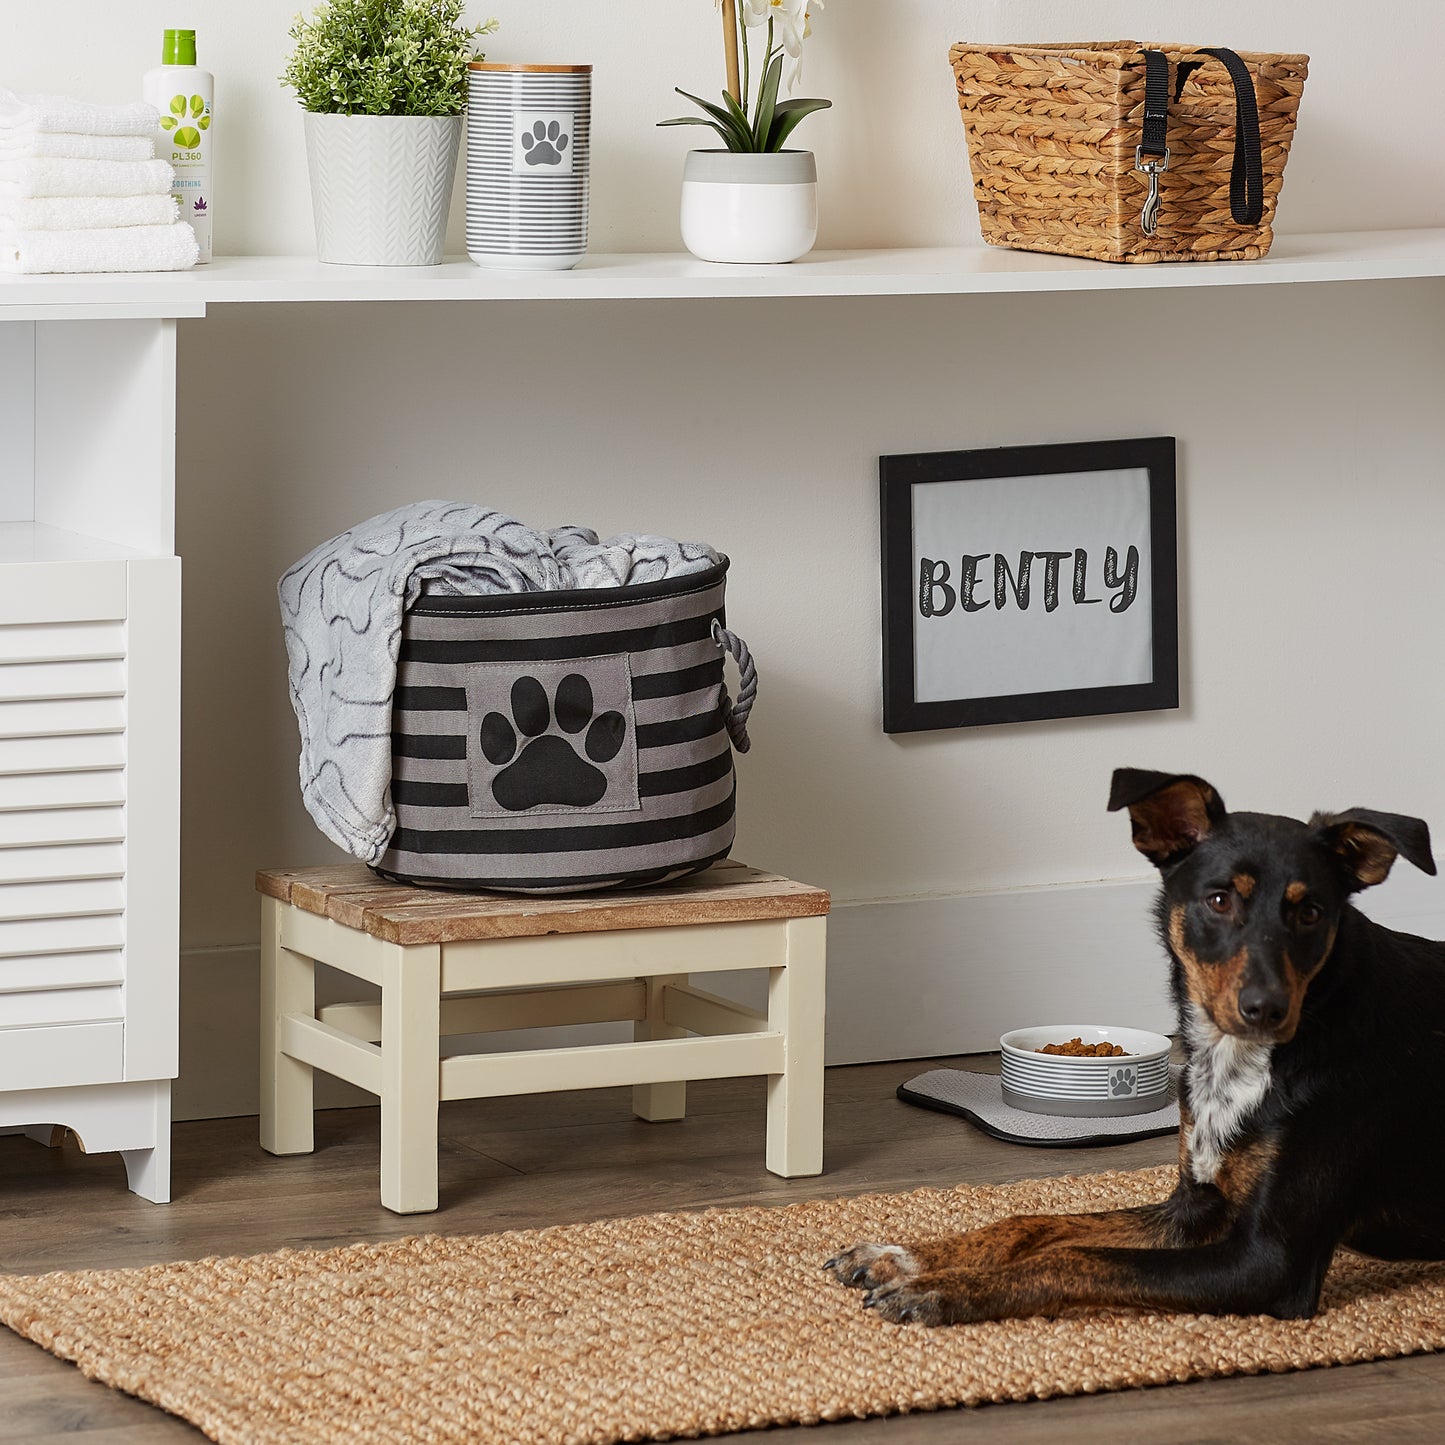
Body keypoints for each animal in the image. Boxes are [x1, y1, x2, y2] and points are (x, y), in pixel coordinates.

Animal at [826, 774, 1445, 1323]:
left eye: (1311, 912)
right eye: (1218, 899)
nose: (1266, 1009)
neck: (1244, 1062)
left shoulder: (1271, 1260)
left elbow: (1073, 1257)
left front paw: (941, 1288)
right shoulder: (1192, 1209)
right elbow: (1031, 1223)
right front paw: (902, 1257)